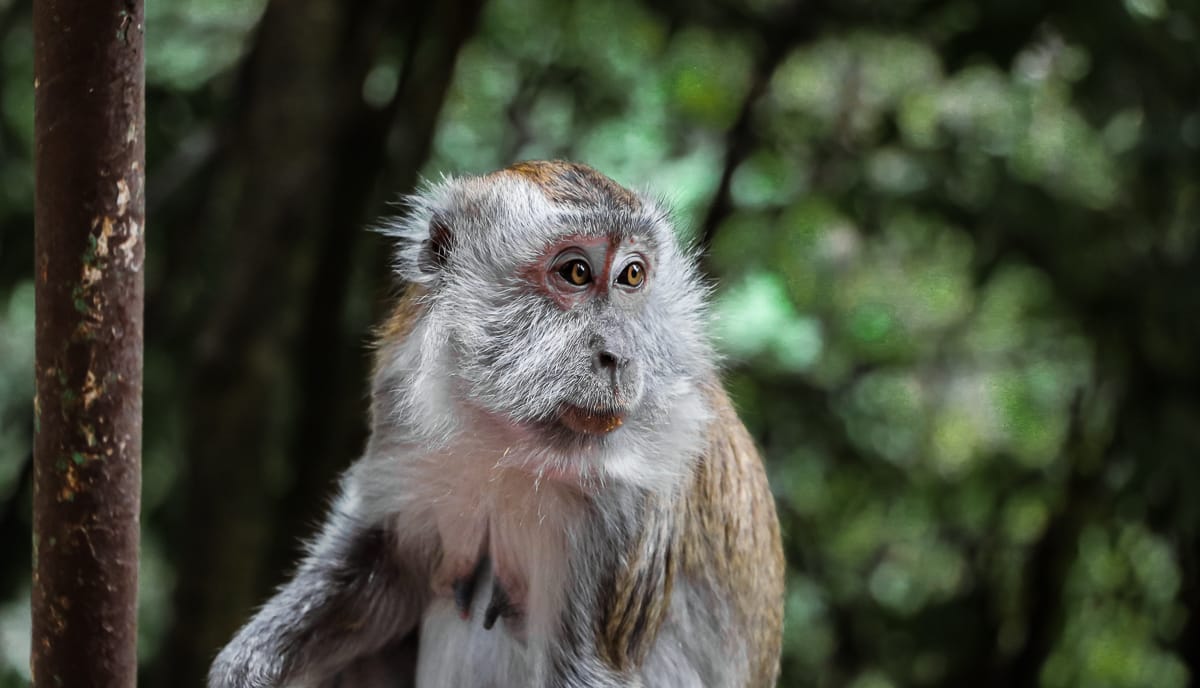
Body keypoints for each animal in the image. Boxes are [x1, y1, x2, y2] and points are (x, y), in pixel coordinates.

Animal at [208, 161, 785, 688]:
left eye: (632, 276)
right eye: (577, 272)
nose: (620, 356)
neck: (506, 439)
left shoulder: (628, 500)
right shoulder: (401, 403)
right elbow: (383, 571)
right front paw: (245, 669)